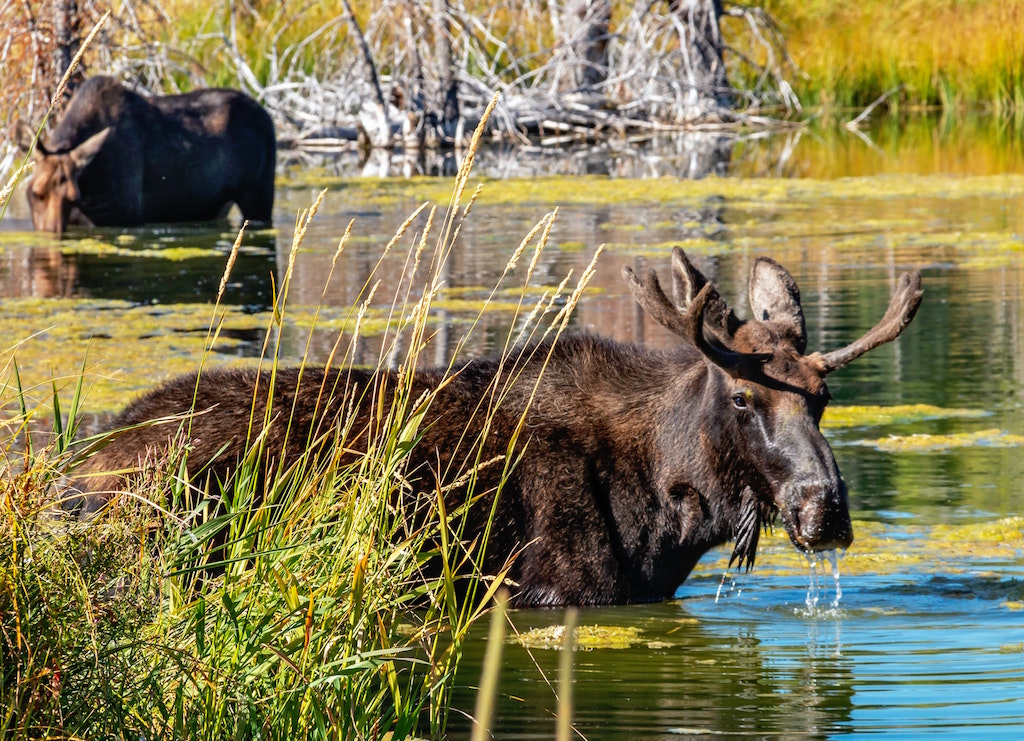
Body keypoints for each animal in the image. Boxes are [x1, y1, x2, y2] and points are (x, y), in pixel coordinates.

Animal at [20, 73, 276, 233]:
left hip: (258, 196)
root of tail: (268, 116)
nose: (50, 232)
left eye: (74, 197)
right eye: (35, 193)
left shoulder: (128, 217)